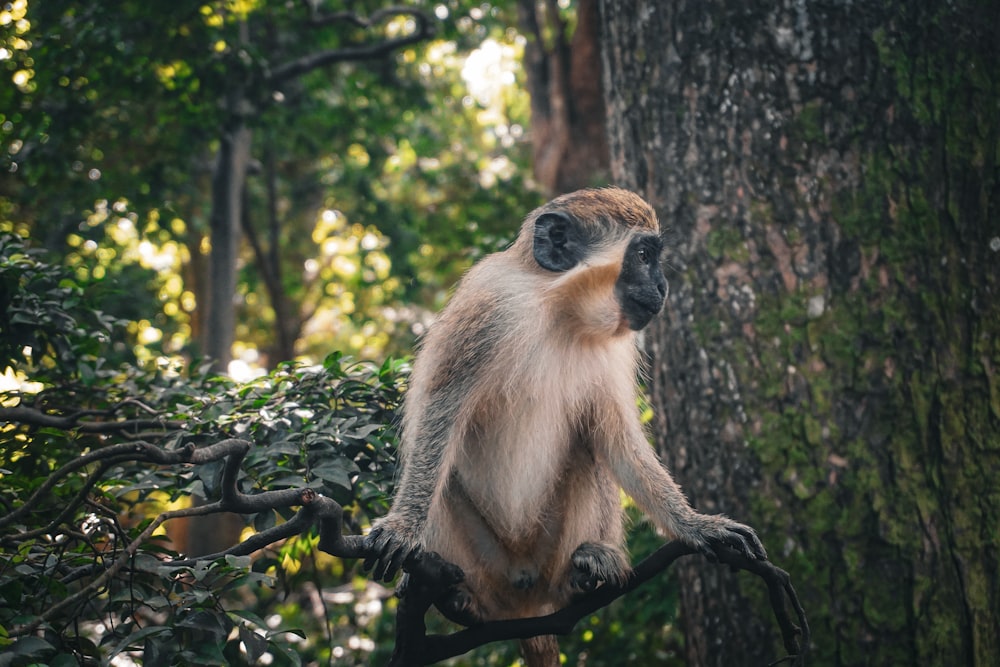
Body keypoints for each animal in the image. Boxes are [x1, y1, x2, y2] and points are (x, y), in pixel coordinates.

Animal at [366, 185, 764, 664]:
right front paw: (402, 528)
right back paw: (462, 599)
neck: (559, 308)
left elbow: (616, 439)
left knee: (590, 449)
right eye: (644, 255)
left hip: (550, 551)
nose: (663, 287)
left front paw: (697, 525)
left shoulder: (617, 345)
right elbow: (441, 413)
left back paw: (590, 566)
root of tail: (527, 596)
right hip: (482, 559)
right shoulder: (490, 308)